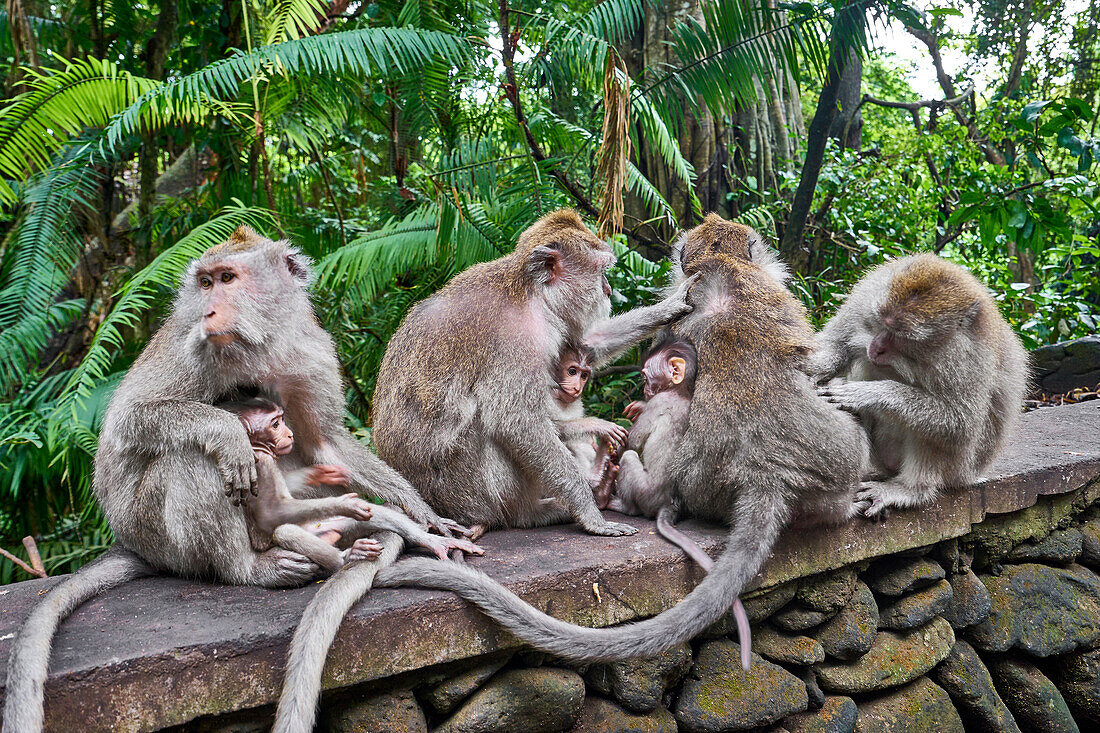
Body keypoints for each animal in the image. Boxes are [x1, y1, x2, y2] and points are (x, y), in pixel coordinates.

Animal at [3, 226, 464, 730]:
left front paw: (423, 513)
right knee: (191, 459)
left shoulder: (309, 353)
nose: (207, 309)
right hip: (151, 528)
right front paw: (228, 433)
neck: (259, 344)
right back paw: (249, 566)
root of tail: (131, 542)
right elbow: (131, 420)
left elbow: (326, 442)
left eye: (227, 278)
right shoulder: (194, 350)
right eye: (204, 283)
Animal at [378, 212, 866, 660]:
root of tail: (767, 474)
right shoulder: (516, 338)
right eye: (600, 270)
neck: (530, 293)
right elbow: (516, 420)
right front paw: (590, 513)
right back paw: (554, 505)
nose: (609, 291)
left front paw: (667, 307)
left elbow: (588, 342)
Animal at [809, 254, 1029, 517]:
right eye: (882, 322)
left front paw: (866, 394)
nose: (876, 347)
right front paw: (815, 367)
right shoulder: (866, 295)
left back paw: (911, 489)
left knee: (934, 433)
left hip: (960, 470)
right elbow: (837, 343)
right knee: (865, 365)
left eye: (900, 335)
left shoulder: (967, 359)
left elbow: (960, 423)